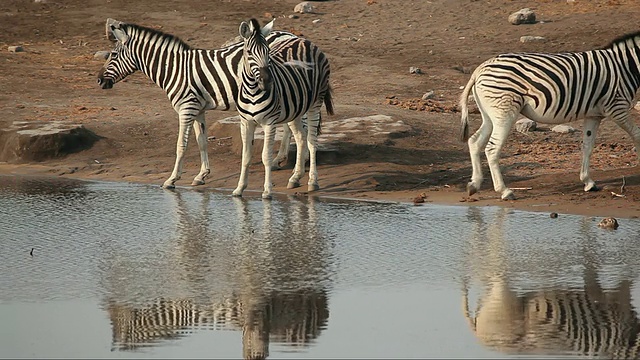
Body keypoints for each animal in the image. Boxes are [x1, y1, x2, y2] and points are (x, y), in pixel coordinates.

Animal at [96, 18, 302, 190]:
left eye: (113, 54)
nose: (99, 80)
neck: (174, 69)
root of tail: (292, 35)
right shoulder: (198, 109)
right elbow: (202, 141)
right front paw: (201, 175)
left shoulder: (186, 108)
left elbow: (181, 144)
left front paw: (172, 179)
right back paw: (280, 161)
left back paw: (292, 172)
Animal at [234, 18, 336, 200]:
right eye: (250, 53)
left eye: (268, 52)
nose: (267, 81)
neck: (253, 90)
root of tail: (304, 41)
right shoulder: (245, 123)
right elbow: (246, 156)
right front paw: (239, 188)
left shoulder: (269, 123)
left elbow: (266, 157)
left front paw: (267, 191)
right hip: (296, 109)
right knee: (301, 137)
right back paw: (295, 178)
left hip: (315, 104)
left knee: (312, 142)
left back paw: (312, 181)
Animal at [458, 31, 640, 200]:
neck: (626, 66)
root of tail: (480, 68)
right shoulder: (617, 107)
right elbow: (637, 134)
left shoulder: (594, 115)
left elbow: (587, 146)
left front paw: (588, 182)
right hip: (504, 112)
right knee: (492, 149)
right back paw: (505, 191)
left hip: (490, 114)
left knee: (474, 141)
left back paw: (474, 184)